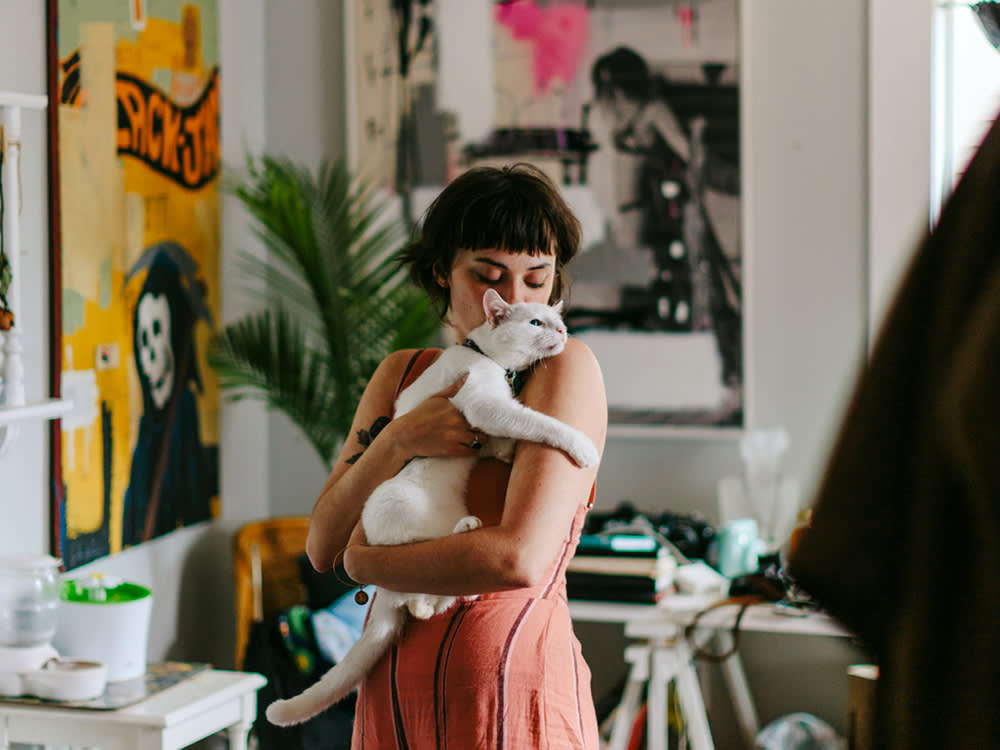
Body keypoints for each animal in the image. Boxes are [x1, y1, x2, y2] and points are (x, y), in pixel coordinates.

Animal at [266, 290, 596, 728]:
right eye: (536, 323)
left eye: (557, 320)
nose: (562, 332)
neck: (485, 357)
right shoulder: (484, 406)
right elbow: (536, 421)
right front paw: (581, 446)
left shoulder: (485, 422)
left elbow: (499, 439)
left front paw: (506, 451)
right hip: (394, 509)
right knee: (415, 576)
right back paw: (461, 532)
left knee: (429, 600)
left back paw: (463, 554)